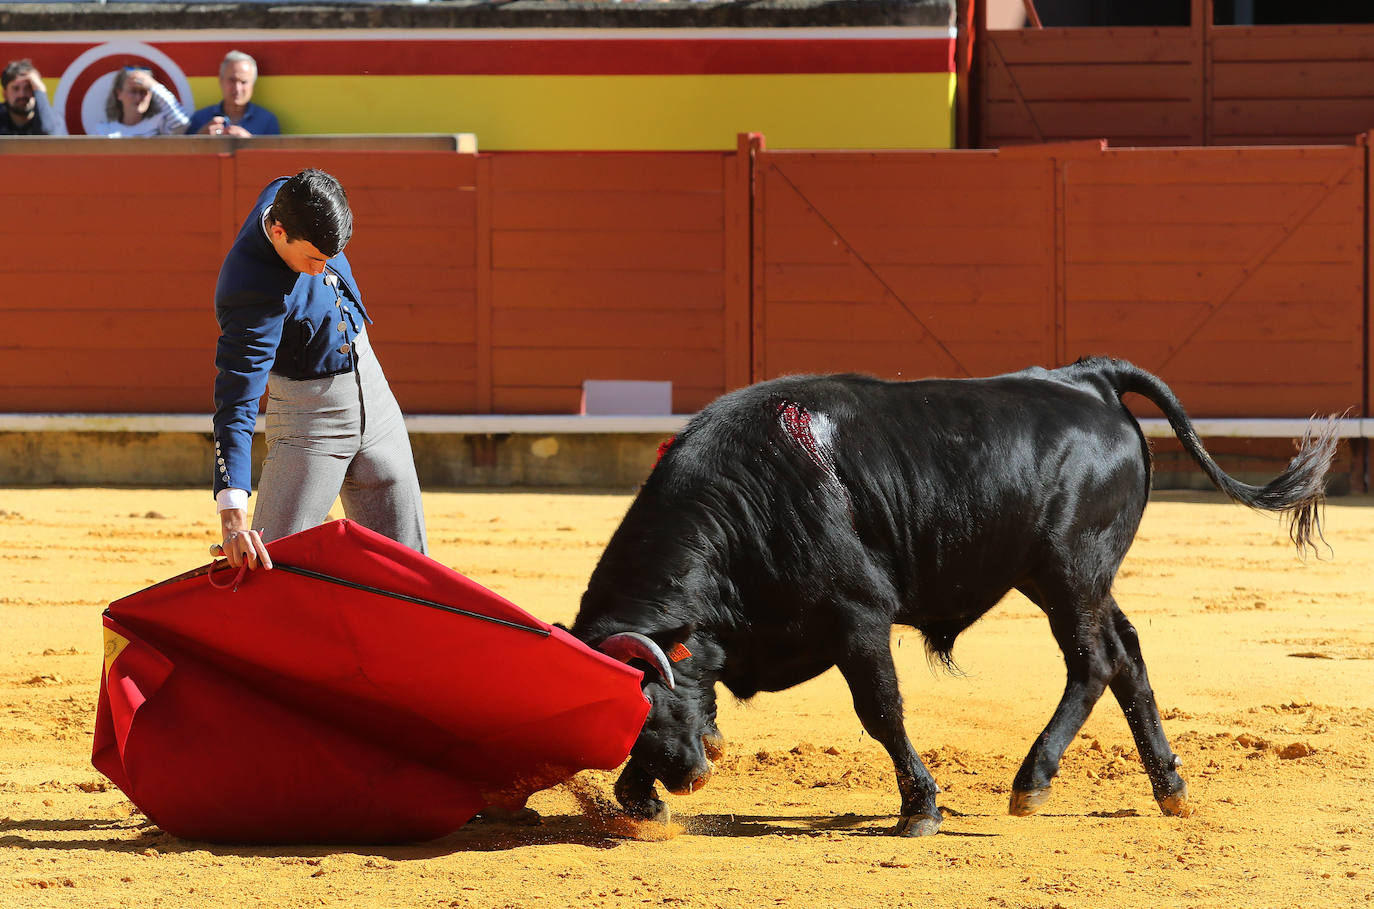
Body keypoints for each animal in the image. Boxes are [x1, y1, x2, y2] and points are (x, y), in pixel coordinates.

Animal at [566, 359, 1330, 845]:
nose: (690, 778)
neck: (744, 505)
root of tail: (1088, 377)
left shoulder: (859, 618)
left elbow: (880, 711)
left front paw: (921, 808)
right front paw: (636, 802)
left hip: (1068, 570)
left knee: (1094, 662)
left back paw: (1032, 782)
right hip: (1074, 577)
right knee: (1128, 655)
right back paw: (1168, 787)